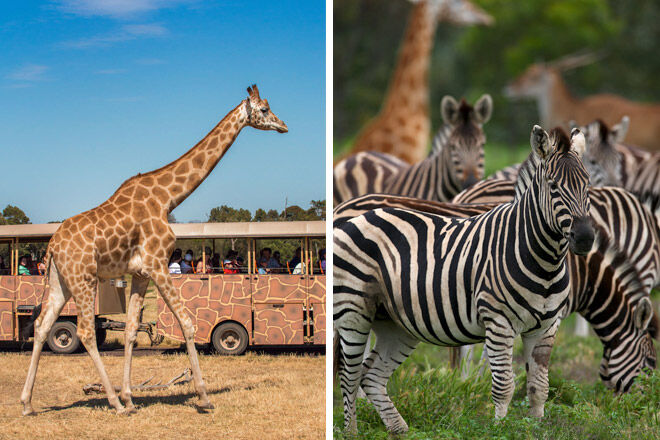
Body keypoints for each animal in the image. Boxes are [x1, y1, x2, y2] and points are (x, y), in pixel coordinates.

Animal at [20, 83, 288, 416]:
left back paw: (28, 403)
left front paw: (130, 397)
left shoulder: (140, 272)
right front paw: (203, 396)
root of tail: (52, 246)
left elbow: (132, 330)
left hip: (61, 281)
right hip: (84, 278)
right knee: (84, 332)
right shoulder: (159, 264)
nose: (284, 125)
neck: (167, 197)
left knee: (42, 326)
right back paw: (112, 403)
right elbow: (187, 323)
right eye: (264, 109)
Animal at [336, 126, 592, 434]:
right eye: (553, 186)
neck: (544, 260)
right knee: (349, 376)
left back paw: (399, 430)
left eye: (588, 185)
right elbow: (504, 386)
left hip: (395, 323)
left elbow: (539, 387)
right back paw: (352, 431)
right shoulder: (498, 322)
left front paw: (535, 428)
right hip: (354, 312)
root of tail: (356, 215)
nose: (585, 237)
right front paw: (499, 430)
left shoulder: (546, 326)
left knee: (370, 376)